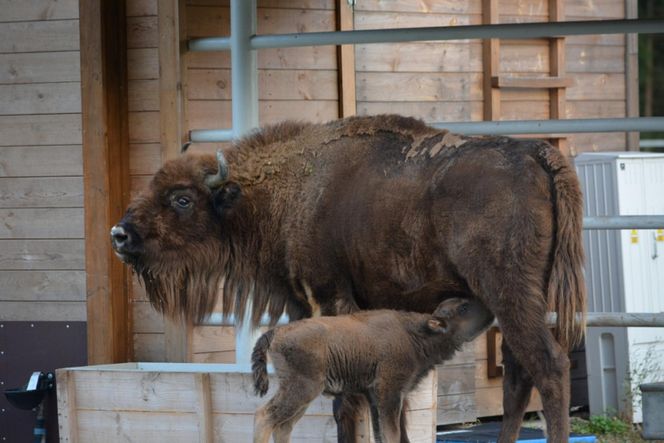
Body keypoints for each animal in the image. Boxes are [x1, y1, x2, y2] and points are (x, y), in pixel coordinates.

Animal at [252, 298, 490, 443]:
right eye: (463, 308)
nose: (487, 307)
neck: (415, 334)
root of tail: (276, 332)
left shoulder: (375, 398)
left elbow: (382, 433)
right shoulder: (389, 394)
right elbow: (392, 433)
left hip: (301, 398)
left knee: (283, 425)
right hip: (301, 390)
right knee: (265, 416)